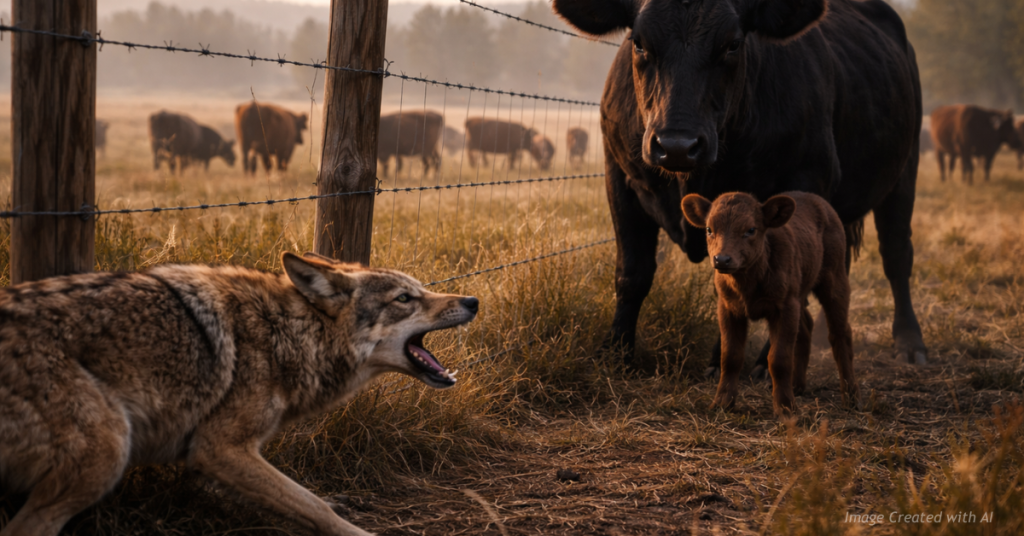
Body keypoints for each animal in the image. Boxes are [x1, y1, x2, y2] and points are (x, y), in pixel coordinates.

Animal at [551, 0, 928, 376]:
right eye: (639, 42)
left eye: (732, 44)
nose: (677, 146)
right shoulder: (620, 178)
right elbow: (633, 272)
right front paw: (615, 352)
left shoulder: (807, 178)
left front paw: (760, 361)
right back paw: (824, 334)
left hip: (905, 170)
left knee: (896, 253)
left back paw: (909, 342)